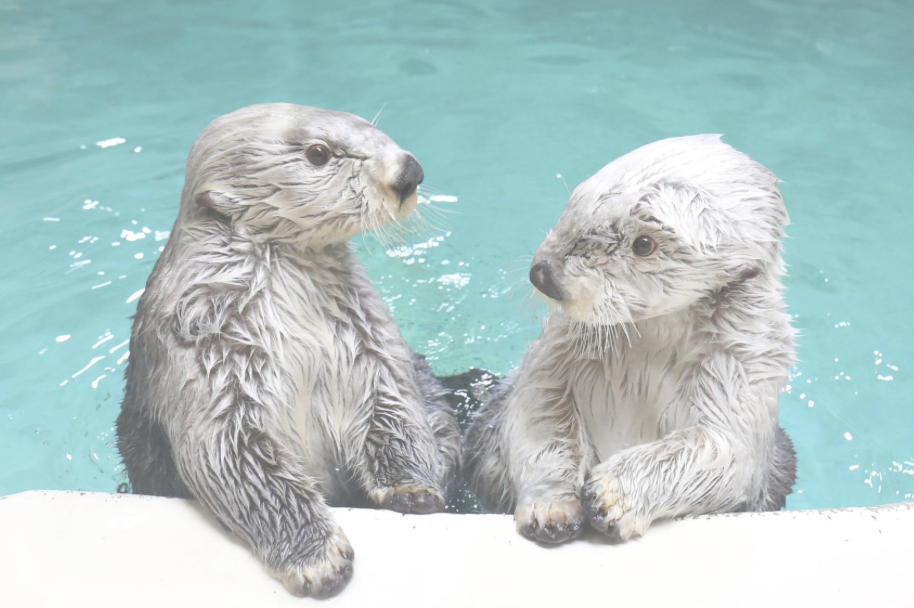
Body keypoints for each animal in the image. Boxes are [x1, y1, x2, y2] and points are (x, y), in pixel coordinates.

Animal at [117, 104, 460, 600]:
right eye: (319, 153)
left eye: (373, 129)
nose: (408, 172)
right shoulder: (198, 353)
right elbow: (236, 461)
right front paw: (317, 559)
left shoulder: (371, 341)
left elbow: (394, 408)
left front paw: (413, 491)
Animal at [466, 135, 796, 544]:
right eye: (575, 204)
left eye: (644, 245)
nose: (543, 273)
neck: (650, 347)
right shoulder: (556, 354)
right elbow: (537, 415)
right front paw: (552, 508)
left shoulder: (744, 369)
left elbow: (722, 450)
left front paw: (611, 495)